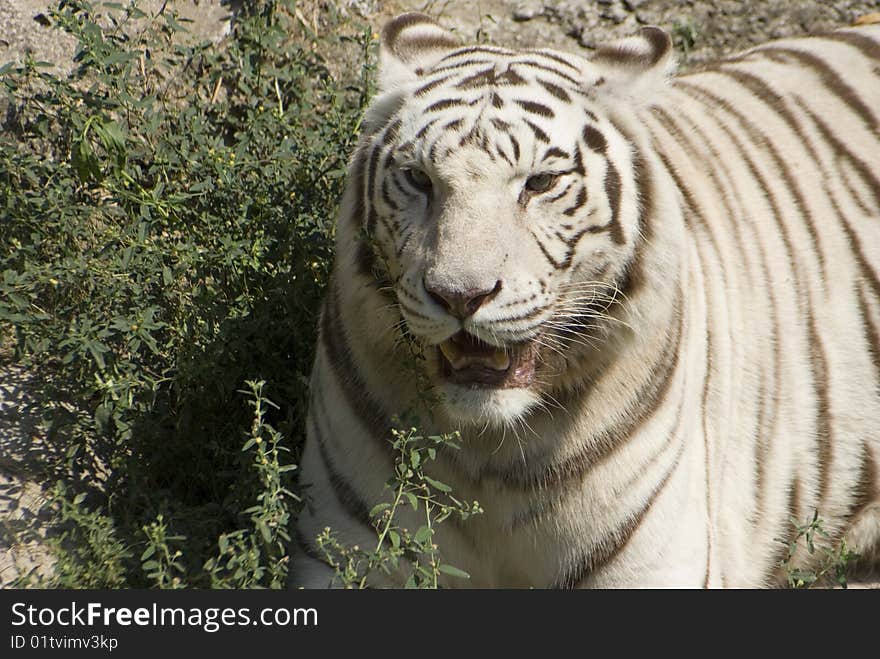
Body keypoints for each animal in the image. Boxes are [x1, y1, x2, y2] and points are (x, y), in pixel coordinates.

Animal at [290, 12, 880, 588]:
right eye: (418, 179)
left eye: (538, 183)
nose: (460, 296)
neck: (488, 457)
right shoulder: (341, 552)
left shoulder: (655, 564)